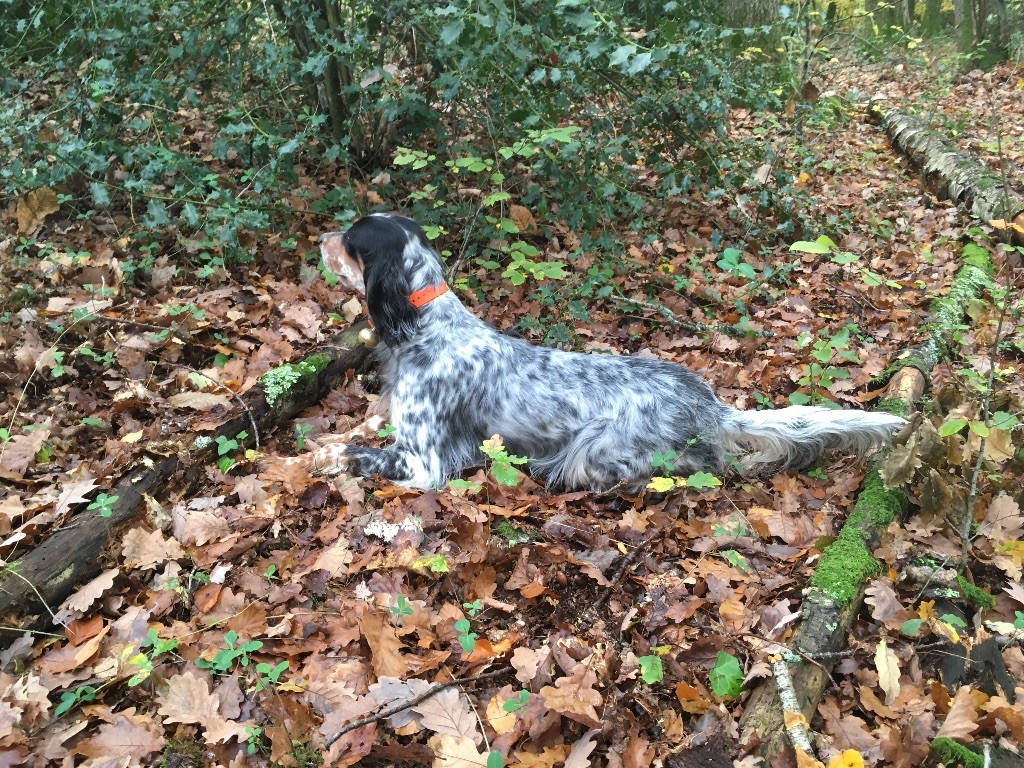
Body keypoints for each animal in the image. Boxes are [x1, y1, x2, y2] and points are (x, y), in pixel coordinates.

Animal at [303, 215, 905, 493]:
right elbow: (352, 432)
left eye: (351, 239)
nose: (318, 237)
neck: (427, 327)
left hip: (594, 455)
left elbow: (348, 454)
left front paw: (306, 461)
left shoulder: (423, 461)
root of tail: (708, 403)